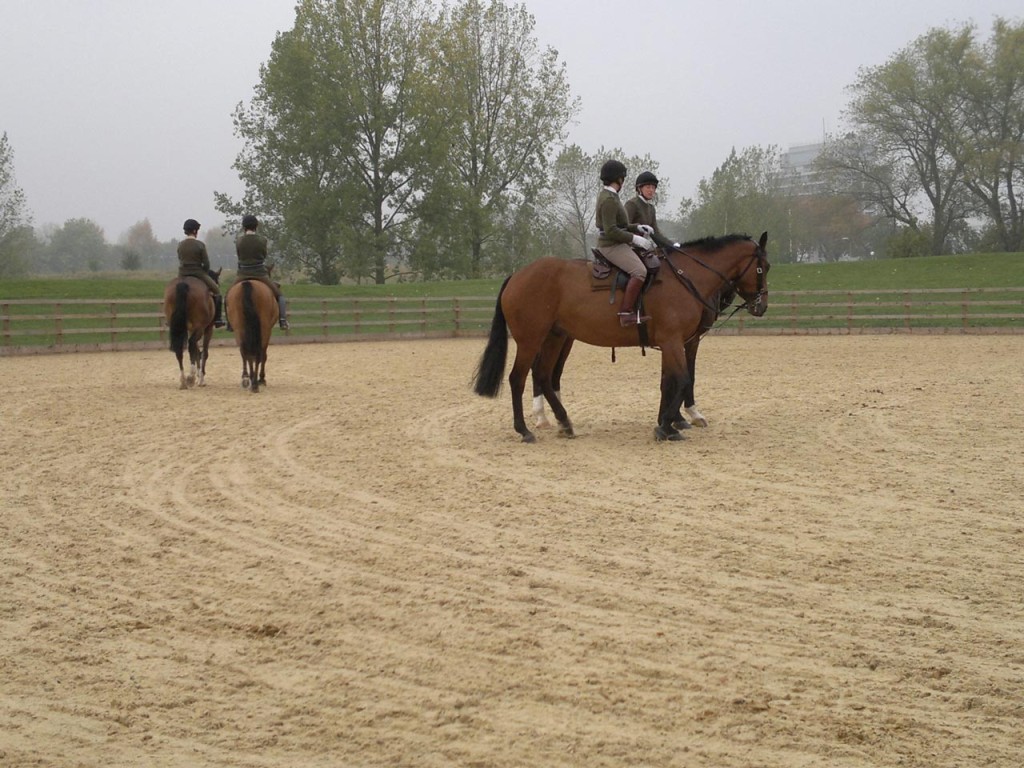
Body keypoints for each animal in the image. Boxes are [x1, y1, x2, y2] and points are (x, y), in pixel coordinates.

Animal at [473, 231, 770, 442]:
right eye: (762, 268)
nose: (762, 306)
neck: (685, 276)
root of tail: (517, 275)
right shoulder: (675, 341)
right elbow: (684, 379)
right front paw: (668, 425)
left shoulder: (672, 343)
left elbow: (670, 381)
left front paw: (670, 421)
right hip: (531, 340)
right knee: (519, 379)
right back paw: (525, 430)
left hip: (556, 337)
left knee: (545, 376)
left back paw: (564, 422)